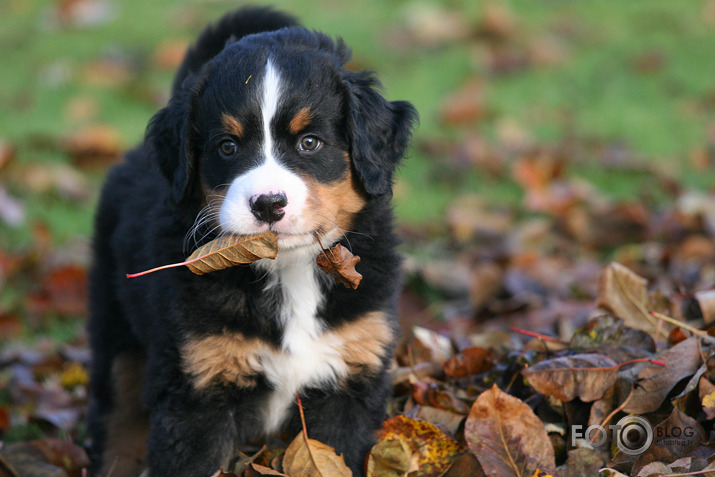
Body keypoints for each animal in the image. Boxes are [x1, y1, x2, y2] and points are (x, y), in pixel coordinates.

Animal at [86, 4, 416, 476]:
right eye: (227, 147)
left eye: (310, 142)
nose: (268, 204)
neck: (290, 272)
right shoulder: (197, 388)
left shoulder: (350, 375)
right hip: (116, 327)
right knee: (117, 413)